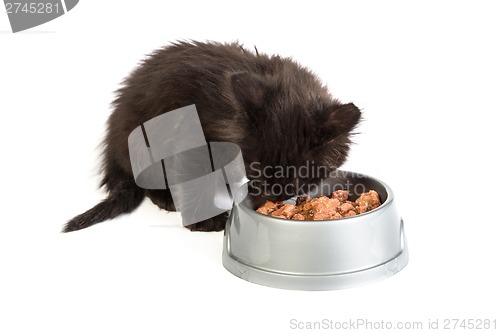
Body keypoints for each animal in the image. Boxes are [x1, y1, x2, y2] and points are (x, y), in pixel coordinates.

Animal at [62, 40, 362, 232]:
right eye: (256, 169)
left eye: (300, 176)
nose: (270, 198)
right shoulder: (190, 138)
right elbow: (193, 178)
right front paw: (205, 220)